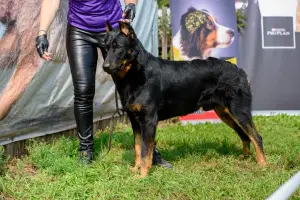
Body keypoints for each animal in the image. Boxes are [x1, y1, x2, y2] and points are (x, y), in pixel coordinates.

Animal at [103, 21, 268, 178]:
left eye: (118, 47)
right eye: (105, 47)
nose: (105, 66)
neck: (135, 73)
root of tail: (240, 71)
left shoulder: (148, 120)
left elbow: (145, 151)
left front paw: (142, 175)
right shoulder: (135, 121)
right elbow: (137, 148)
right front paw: (135, 170)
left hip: (239, 111)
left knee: (256, 137)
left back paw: (263, 164)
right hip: (225, 113)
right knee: (245, 135)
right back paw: (245, 158)